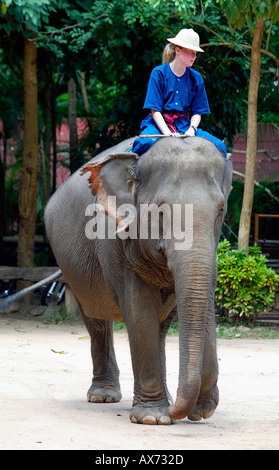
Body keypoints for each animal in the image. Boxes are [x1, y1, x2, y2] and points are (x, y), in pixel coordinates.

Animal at [42, 137, 233, 426]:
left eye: (221, 210)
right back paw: (103, 397)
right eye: (161, 211)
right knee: (96, 321)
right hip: (73, 269)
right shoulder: (116, 239)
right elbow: (139, 311)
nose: (185, 411)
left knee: (161, 327)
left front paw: (186, 410)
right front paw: (153, 417)